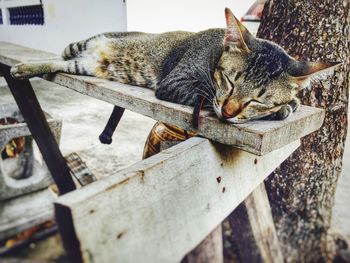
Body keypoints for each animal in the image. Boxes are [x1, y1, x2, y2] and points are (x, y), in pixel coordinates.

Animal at [10, 7, 340, 125]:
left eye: (258, 98)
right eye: (230, 81)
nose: (229, 112)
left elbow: (290, 103)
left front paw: (287, 106)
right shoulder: (176, 82)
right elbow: (205, 94)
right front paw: (280, 110)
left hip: (84, 65)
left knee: (61, 63)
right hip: (80, 45)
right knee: (59, 55)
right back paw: (22, 67)